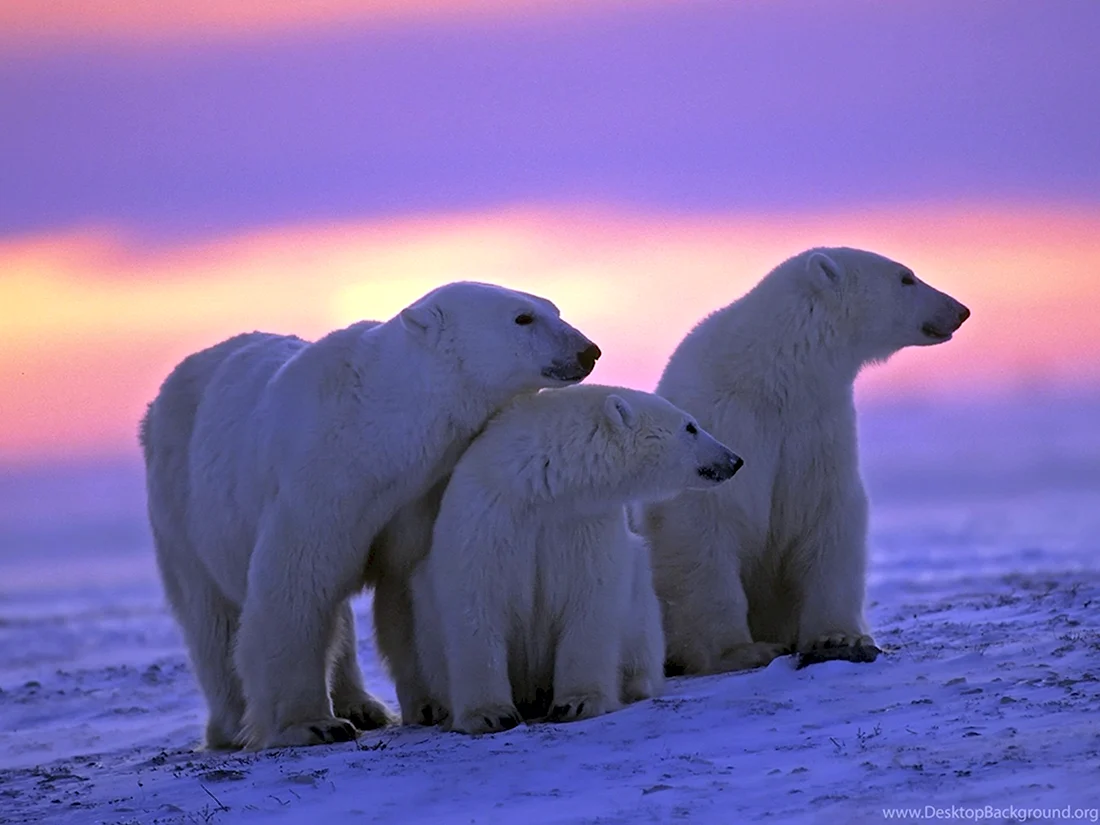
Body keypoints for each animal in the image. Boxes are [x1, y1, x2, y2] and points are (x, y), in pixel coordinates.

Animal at [140, 283, 602, 748]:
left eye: (554, 308)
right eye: (522, 317)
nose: (589, 351)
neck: (380, 432)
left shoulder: (418, 494)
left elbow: (408, 585)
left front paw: (432, 704)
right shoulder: (320, 480)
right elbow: (294, 585)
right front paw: (311, 724)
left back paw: (361, 706)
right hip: (181, 505)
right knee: (211, 616)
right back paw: (234, 726)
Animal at [413, 385, 748, 734]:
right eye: (690, 426)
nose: (734, 460)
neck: (543, 486)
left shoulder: (584, 523)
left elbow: (591, 599)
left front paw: (577, 702)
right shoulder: (487, 517)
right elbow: (475, 604)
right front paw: (490, 714)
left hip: (640, 602)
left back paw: (634, 683)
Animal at [642, 251, 972, 677]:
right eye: (906, 278)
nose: (960, 310)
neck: (773, 379)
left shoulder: (816, 430)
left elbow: (828, 514)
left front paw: (839, 637)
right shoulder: (725, 425)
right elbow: (704, 528)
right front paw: (741, 650)